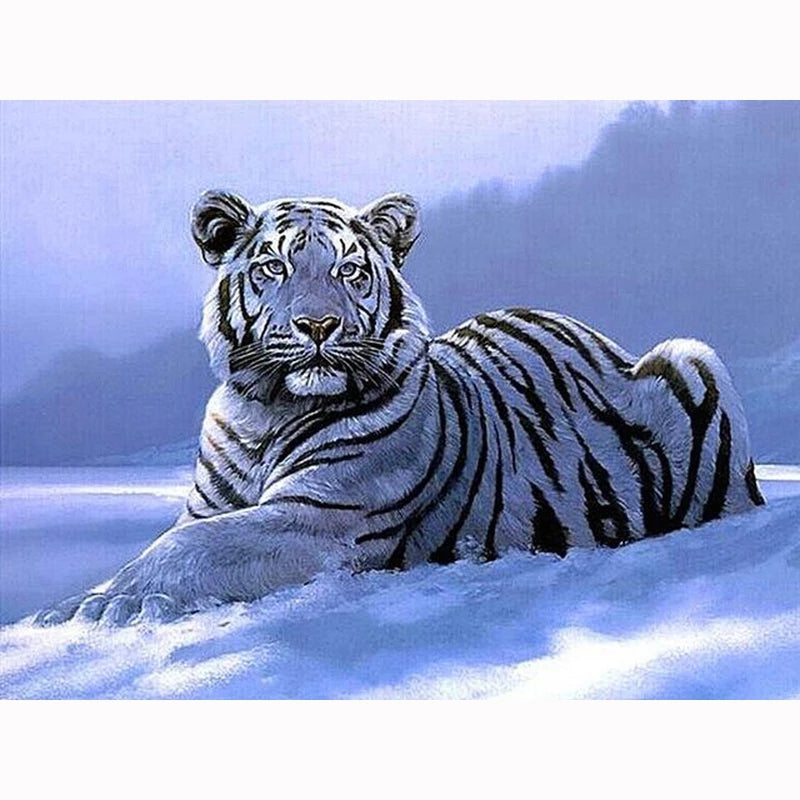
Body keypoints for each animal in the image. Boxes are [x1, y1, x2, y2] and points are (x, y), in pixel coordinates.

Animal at [35, 190, 765, 627]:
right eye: (273, 267)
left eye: (350, 271)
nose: (318, 326)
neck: (265, 411)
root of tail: (601, 336)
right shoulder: (214, 504)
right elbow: (180, 537)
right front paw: (91, 601)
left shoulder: (321, 517)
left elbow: (187, 547)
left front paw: (92, 608)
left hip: (694, 357)